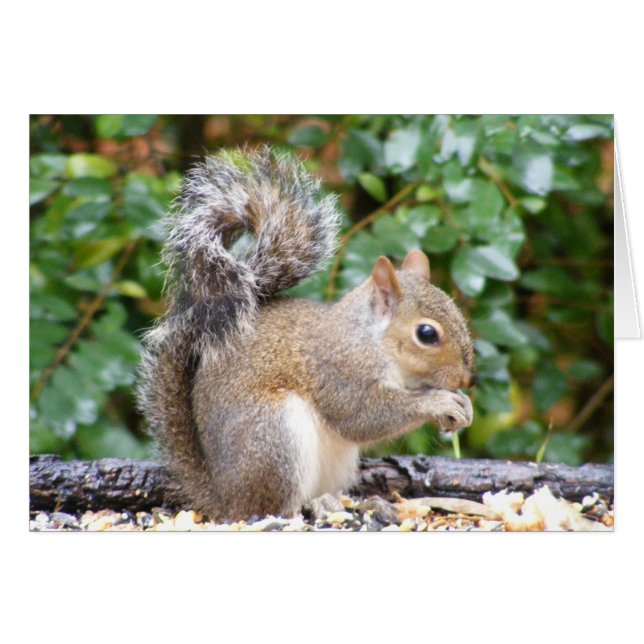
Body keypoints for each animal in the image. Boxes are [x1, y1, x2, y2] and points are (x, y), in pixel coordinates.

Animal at [138, 146, 475, 522]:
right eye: (427, 334)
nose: (465, 380)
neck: (371, 340)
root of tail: (221, 498)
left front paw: (461, 407)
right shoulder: (340, 373)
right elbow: (363, 418)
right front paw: (439, 402)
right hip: (275, 437)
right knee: (272, 509)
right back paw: (313, 506)